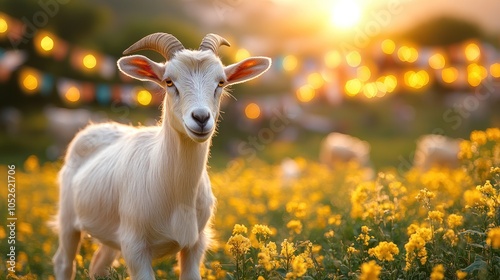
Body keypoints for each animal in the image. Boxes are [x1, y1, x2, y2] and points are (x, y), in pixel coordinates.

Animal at [53, 33, 272, 280]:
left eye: (221, 82)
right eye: (169, 81)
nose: (201, 118)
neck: (177, 196)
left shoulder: (196, 243)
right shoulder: (135, 247)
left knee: (99, 265)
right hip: (68, 218)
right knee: (64, 262)